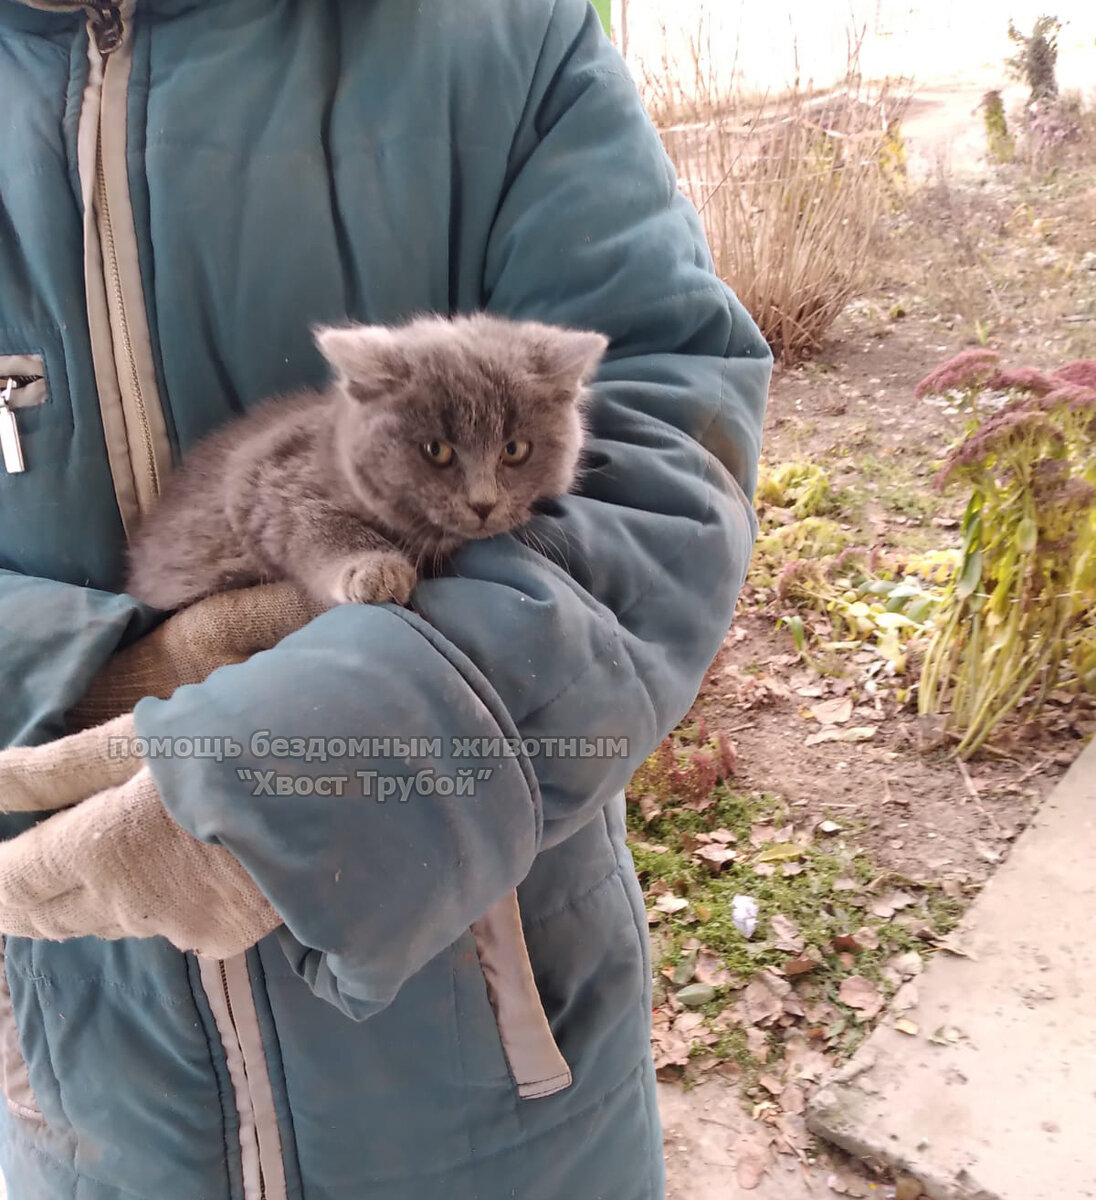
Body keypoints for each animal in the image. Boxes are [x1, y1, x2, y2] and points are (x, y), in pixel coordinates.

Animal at [126, 314, 607, 609]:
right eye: (437, 451)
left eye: (514, 450)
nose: (483, 504)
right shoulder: (263, 478)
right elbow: (318, 524)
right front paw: (375, 568)